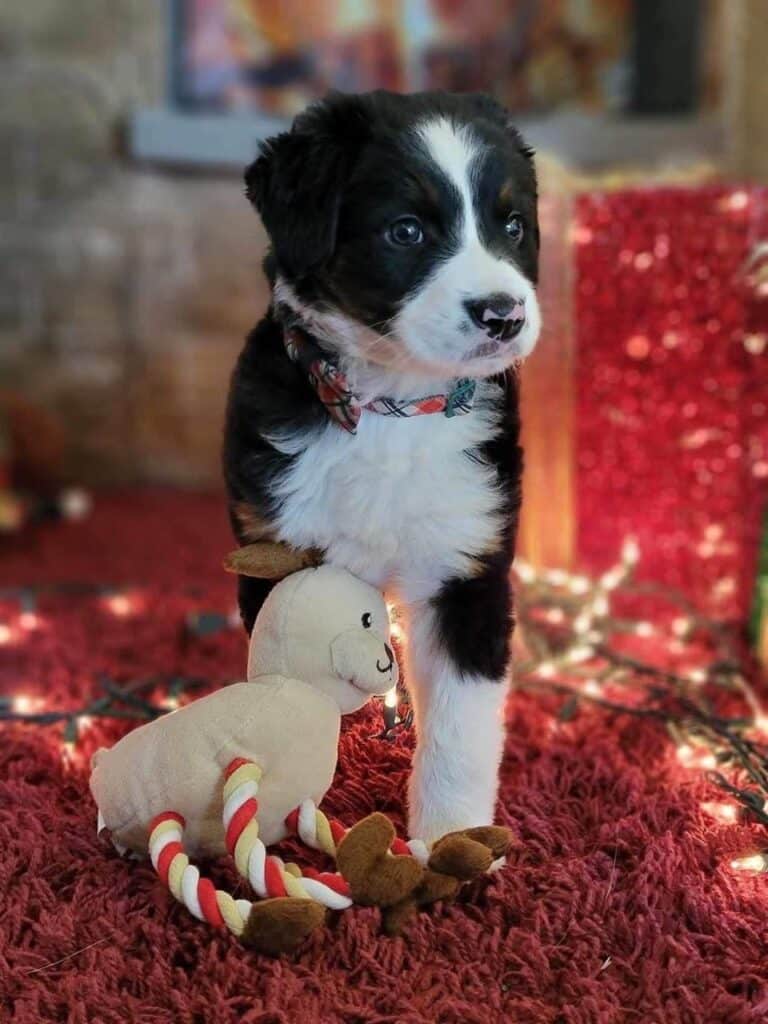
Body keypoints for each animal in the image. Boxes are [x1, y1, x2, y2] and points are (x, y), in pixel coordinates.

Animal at [224, 88, 540, 843]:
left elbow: (460, 726)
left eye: (513, 225)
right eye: (406, 231)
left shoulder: (469, 565)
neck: (393, 408)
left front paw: (451, 841)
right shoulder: (275, 552)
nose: (504, 314)